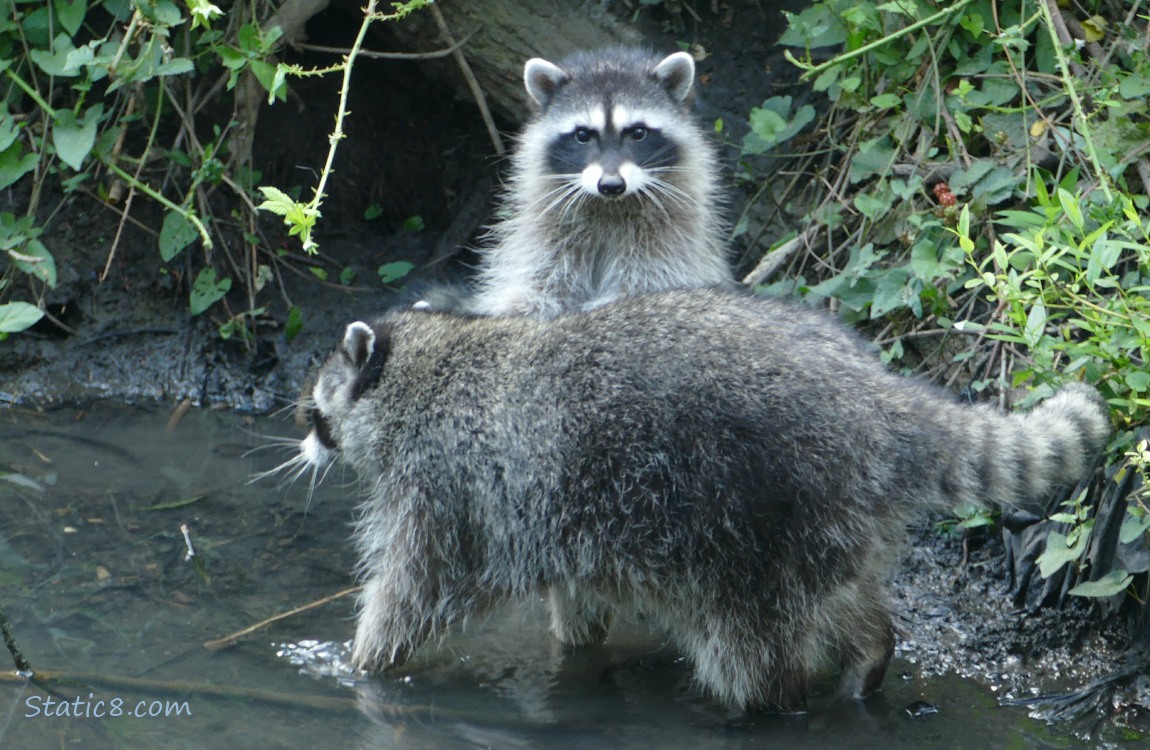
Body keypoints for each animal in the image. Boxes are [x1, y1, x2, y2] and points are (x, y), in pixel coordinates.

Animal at [297, 289, 1109, 712]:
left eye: (312, 411)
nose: (302, 444)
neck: (427, 360)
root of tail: (872, 397)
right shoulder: (549, 510)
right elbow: (577, 598)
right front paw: (576, 648)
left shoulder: (446, 487)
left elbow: (418, 588)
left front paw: (362, 662)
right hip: (830, 515)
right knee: (843, 593)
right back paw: (868, 655)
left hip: (751, 523)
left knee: (750, 650)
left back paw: (769, 702)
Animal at [467, 47, 734, 318]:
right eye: (583, 135)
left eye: (638, 133)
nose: (612, 185)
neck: (610, 206)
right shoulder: (548, 232)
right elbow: (541, 282)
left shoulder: (672, 234)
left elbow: (649, 281)